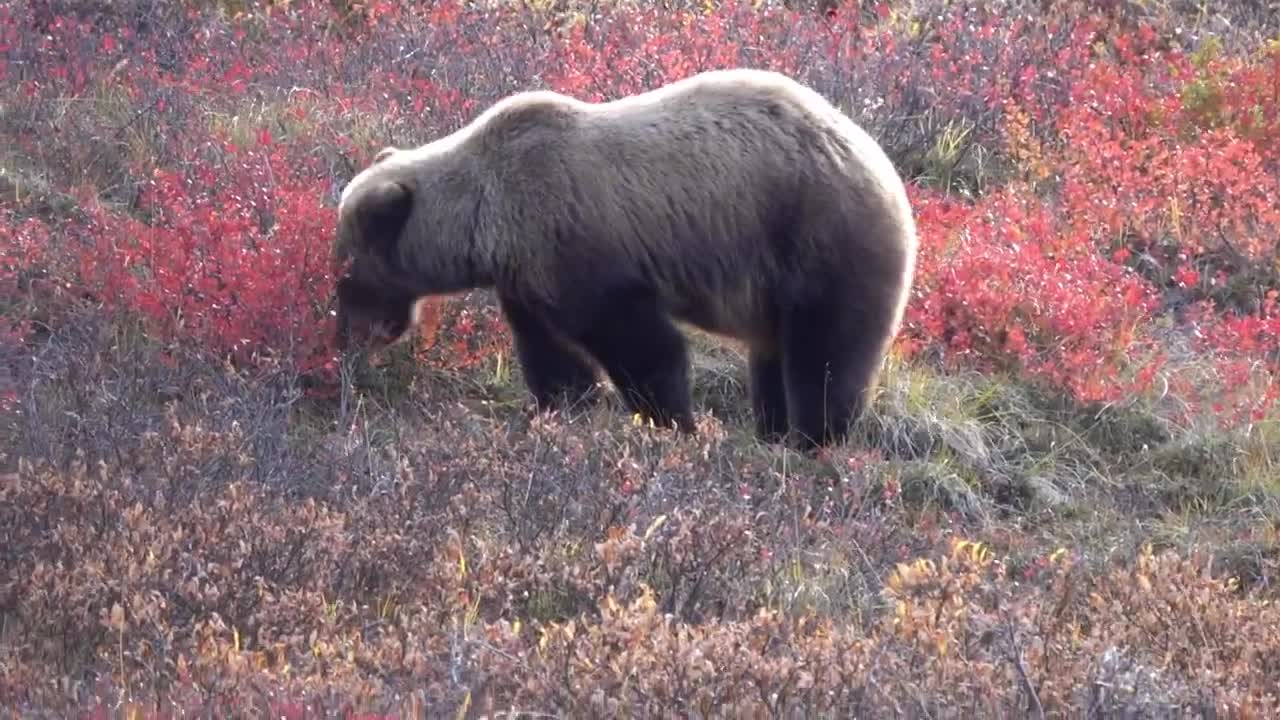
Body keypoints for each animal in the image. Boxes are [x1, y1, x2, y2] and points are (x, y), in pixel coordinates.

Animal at [335, 68, 916, 448]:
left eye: (347, 277)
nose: (351, 336)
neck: (486, 218)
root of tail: (885, 167)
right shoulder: (527, 276)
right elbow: (553, 357)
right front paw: (560, 410)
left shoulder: (580, 244)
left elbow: (642, 345)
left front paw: (672, 423)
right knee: (774, 356)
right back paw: (771, 431)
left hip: (819, 239)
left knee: (825, 355)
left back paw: (812, 440)